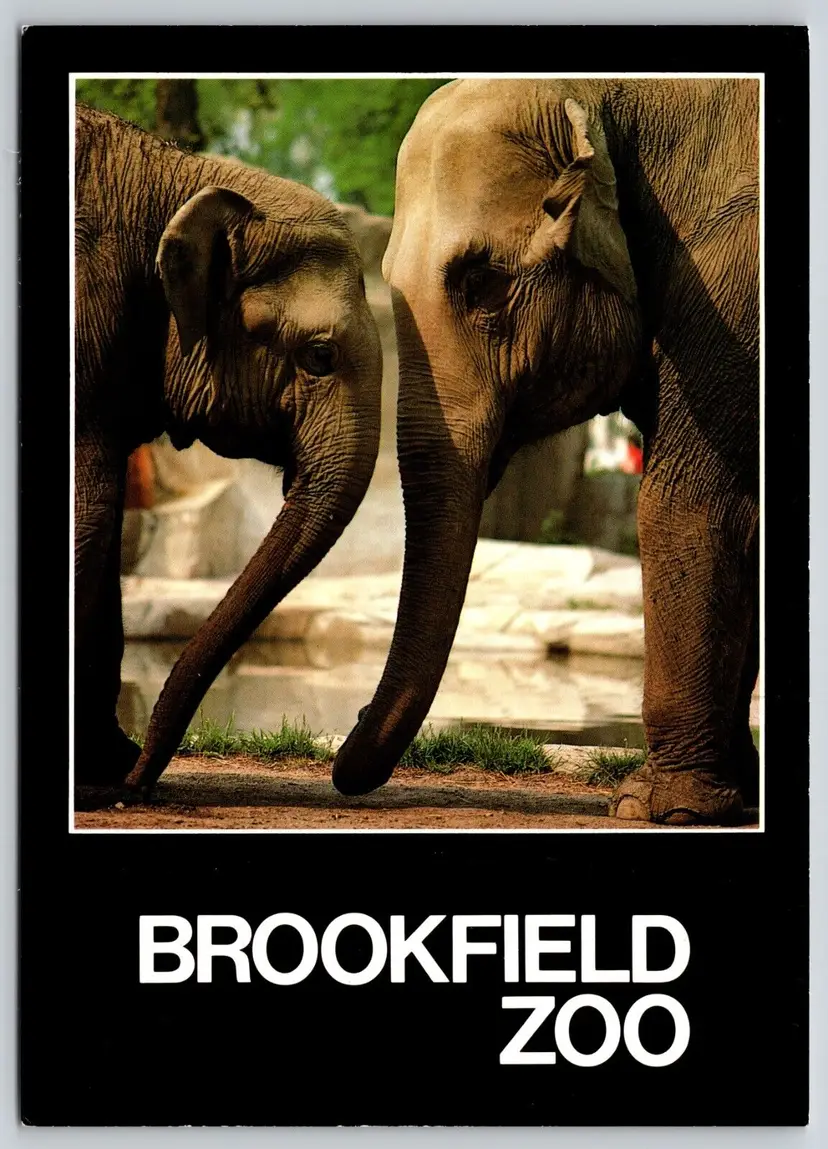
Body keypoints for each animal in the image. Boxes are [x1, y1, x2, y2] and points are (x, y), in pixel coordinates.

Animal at [74, 105, 382, 790]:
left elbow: (100, 515)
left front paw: (106, 770)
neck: (177, 174)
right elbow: (90, 513)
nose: (137, 786)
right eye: (319, 356)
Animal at [331, 79, 759, 825]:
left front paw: (663, 808)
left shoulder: (735, 287)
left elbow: (692, 504)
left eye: (480, 279)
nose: (345, 738)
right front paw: (714, 797)